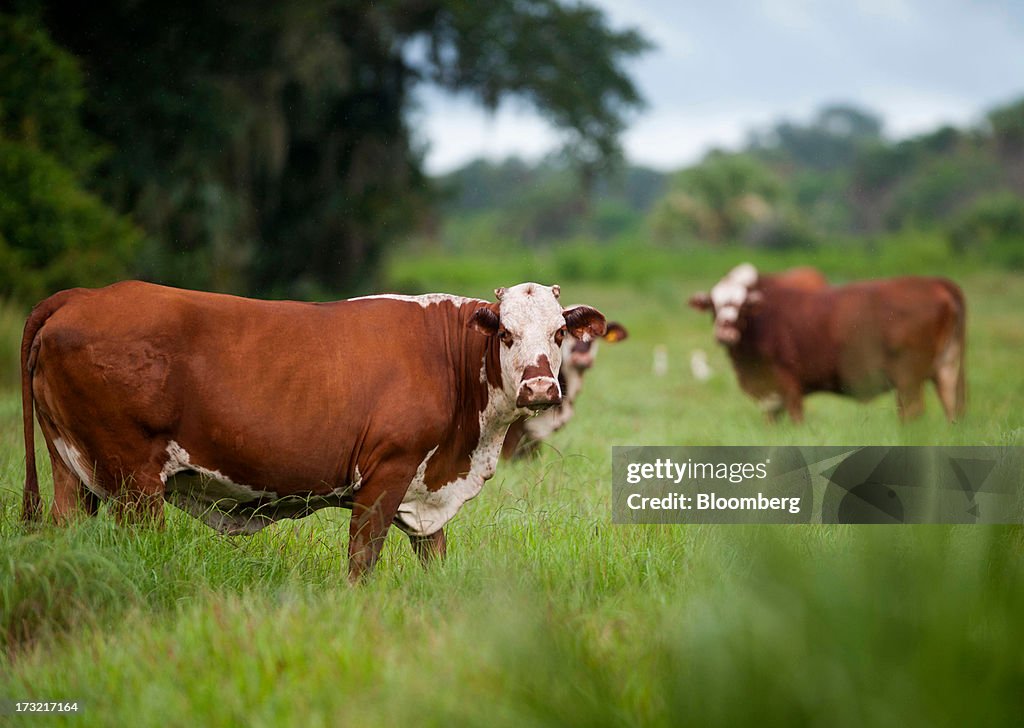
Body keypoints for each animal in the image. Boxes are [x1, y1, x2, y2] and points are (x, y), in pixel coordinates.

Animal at [20, 281, 606, 580]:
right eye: (506, 333)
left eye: (559, 332)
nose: (540, 388)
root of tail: (79, 295)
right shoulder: (387, 472)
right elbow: (362, 560)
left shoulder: (426, 488)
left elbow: (433, 556)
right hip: (133, 481)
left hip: (72, 470)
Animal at [688, 264, 965, 423]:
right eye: (713, 305)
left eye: (743, 306)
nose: (724, 333)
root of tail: (934, 282)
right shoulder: (769, 395)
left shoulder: (789, 385)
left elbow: (797, 420)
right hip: (947, 368)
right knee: (952, 408)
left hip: (908, 378)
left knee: (913, 412)